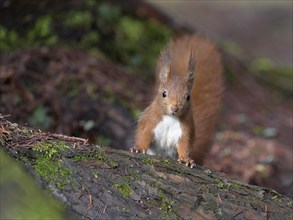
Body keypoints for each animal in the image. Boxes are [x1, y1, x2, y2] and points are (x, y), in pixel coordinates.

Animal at [129, 34, 221, 168]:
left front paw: (186, 159)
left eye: (188, 97)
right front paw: (138, 148)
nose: (174, 108)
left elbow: (184, 146)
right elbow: (144, 136)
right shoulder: (150, 122)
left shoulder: (185, 131)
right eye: (164, 93)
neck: (170, 118)